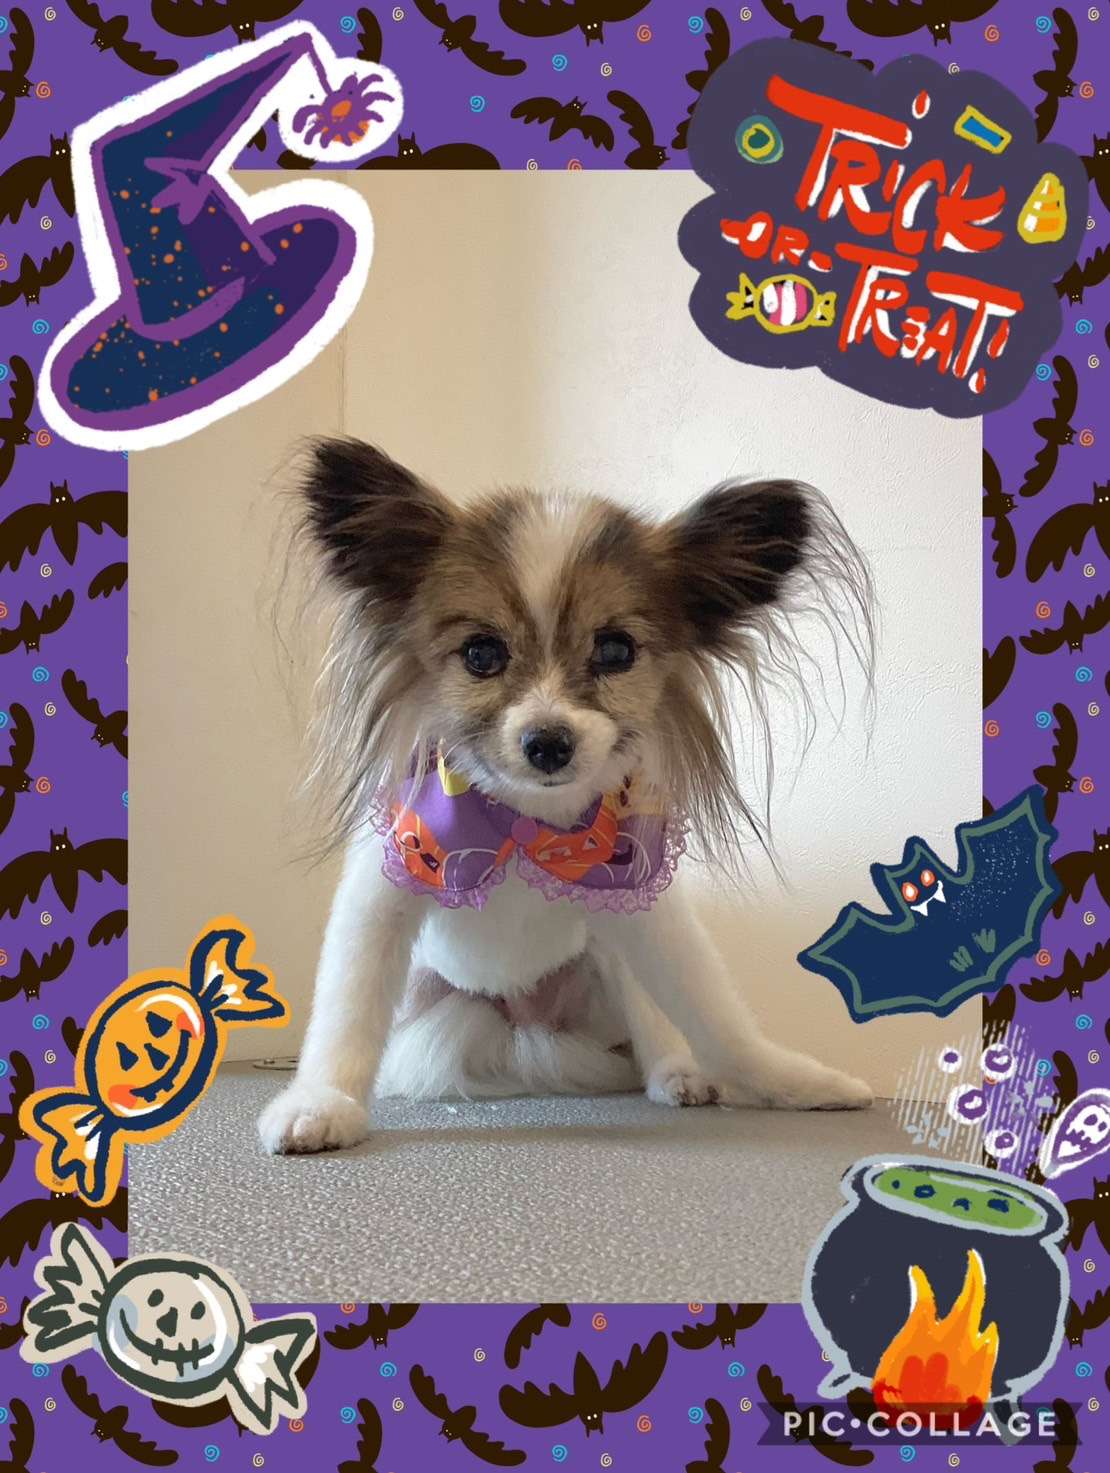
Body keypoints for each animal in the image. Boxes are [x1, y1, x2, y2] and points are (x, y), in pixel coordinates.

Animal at [258, 438, 876, 1154]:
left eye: (615, 650)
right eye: (481, 653)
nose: (548, 742)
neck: (524, 825)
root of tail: (524, 1023)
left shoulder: (646, 912)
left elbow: (717, 1018)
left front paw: (796, 1082)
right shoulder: (382, 897)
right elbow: (348, 1015)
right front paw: (321, 1103)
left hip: (607, 964)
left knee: (655, 1022)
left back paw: (679, 1074)